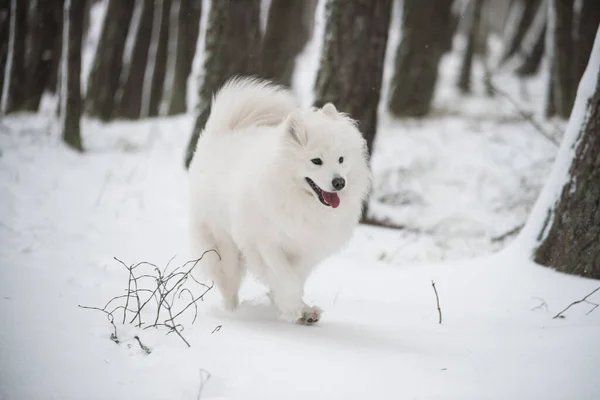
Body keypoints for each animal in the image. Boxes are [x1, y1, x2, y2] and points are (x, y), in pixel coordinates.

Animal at [189, 76, 370, 324]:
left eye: (341, 159)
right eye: (316, 161)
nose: (339, 182)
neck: (299, 201)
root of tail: (223, 132)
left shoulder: (308, 246)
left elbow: (296, 276)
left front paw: (297, 308)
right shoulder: (266, 242)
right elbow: (287, 279)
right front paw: (292, 309)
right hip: (224, 243)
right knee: (229, 284)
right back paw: (233, 314)